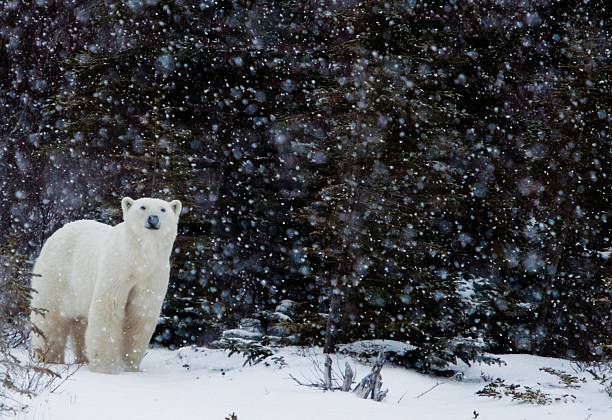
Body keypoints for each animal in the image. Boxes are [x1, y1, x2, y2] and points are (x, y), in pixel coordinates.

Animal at [30, 197, 180, 374]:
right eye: (142, 207)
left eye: (163, 209)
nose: (153, 219)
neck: (139, 258)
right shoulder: (116, 268)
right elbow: (108, 309)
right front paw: (106, 367)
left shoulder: (153, 275)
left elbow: (140, 314)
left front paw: (130, 366)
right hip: (56, 275)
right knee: (49, 319)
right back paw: (49, 359)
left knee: (81, 323)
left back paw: (82, 359)